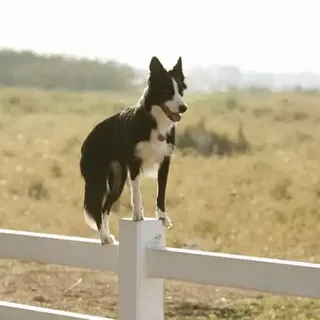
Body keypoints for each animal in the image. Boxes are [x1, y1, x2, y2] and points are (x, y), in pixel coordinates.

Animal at [79, 56, 188, 244]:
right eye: (167, 90)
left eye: (181, 91)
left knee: (105, 208)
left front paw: (163, 217)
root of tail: (88, 139)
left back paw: (108, 235)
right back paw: (104, 236)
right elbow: (136, 192)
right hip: (97, 179)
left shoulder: (165, 162)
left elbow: (161, 193)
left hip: (118, 180)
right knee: (97, 208)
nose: (183, 108)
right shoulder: (135, 162)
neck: (155, 123)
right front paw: (137, 215)